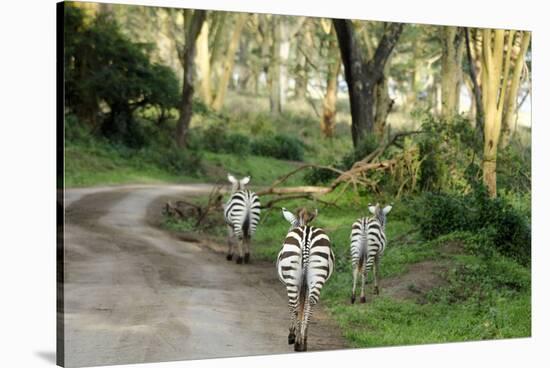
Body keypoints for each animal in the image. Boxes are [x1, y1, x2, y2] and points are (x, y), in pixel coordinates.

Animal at [276, 207, 336, 350]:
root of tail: (306, 233)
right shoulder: (305, 284)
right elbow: (305, 303)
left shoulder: (298, 283)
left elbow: (298, 305)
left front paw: (292, 334)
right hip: (317, 274)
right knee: (311, 303)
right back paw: (303, 341)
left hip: (292, 278)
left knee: (294, 305)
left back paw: (296, 341)